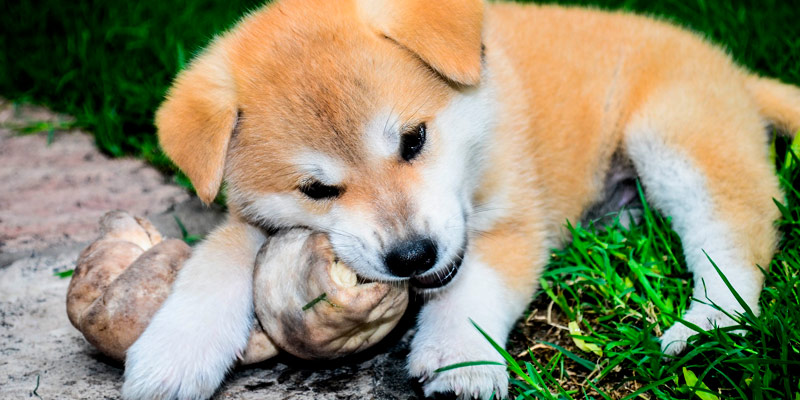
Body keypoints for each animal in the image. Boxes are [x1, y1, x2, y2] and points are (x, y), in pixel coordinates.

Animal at [120, 0, 800, 398]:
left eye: (414, 139)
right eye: (317, 189)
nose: (412, 256)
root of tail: (733, 71)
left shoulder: (515, 220)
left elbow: (474, 285)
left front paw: (459, 359)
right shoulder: (247, 219)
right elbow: (214, 265)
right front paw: (174, 352)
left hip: (677, 138)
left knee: (734, 242)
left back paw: (706, 322)